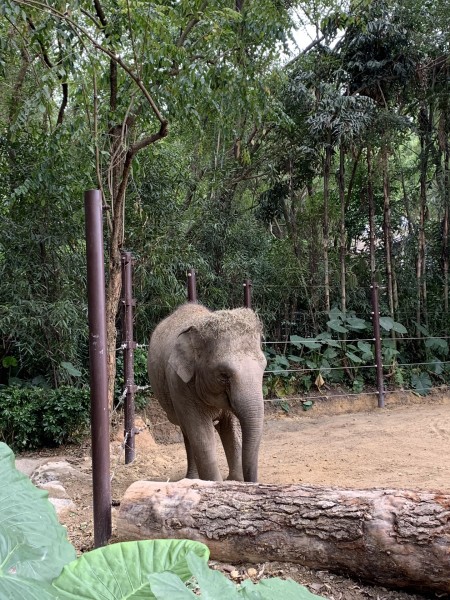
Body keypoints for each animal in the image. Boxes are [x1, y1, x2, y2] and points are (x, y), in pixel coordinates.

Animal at [148, 304, 268, 482]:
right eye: (223, 375)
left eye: (264, 367)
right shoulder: (179, 384)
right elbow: (202, 435)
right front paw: (215, 484)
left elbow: (231, 428)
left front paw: (235, 481)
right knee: (188, 433)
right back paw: (192, 479)